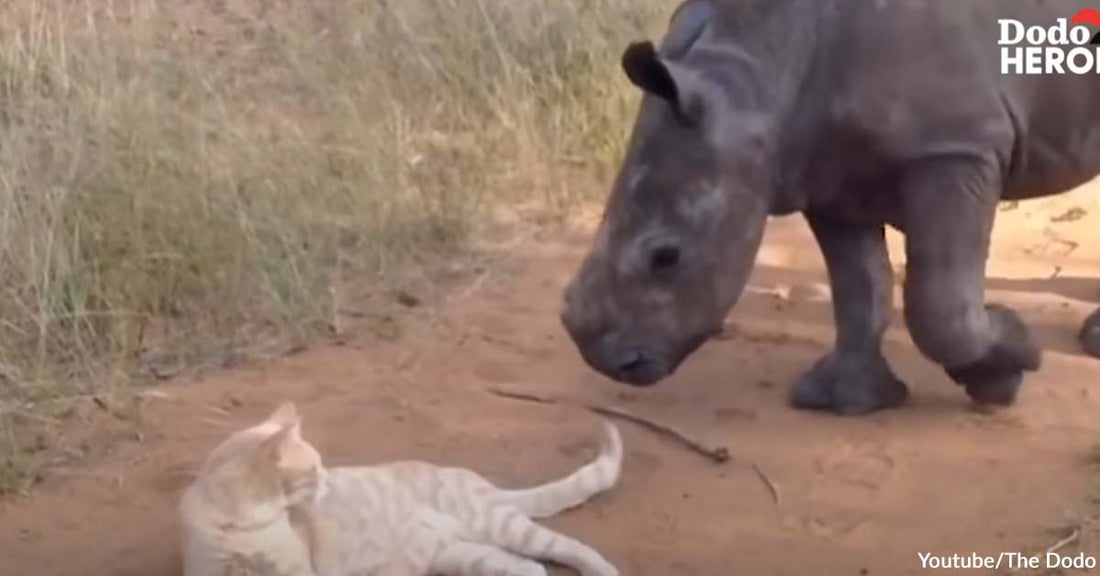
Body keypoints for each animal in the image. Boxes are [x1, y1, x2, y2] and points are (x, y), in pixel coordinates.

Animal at [178, 402, 620, 576]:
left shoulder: (299, 572)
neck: (241, 529)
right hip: (461, 556)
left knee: (569, 549)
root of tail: (480, 481)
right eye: (316, 469)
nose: (330, 482)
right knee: (530, 567)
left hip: (498, 525)